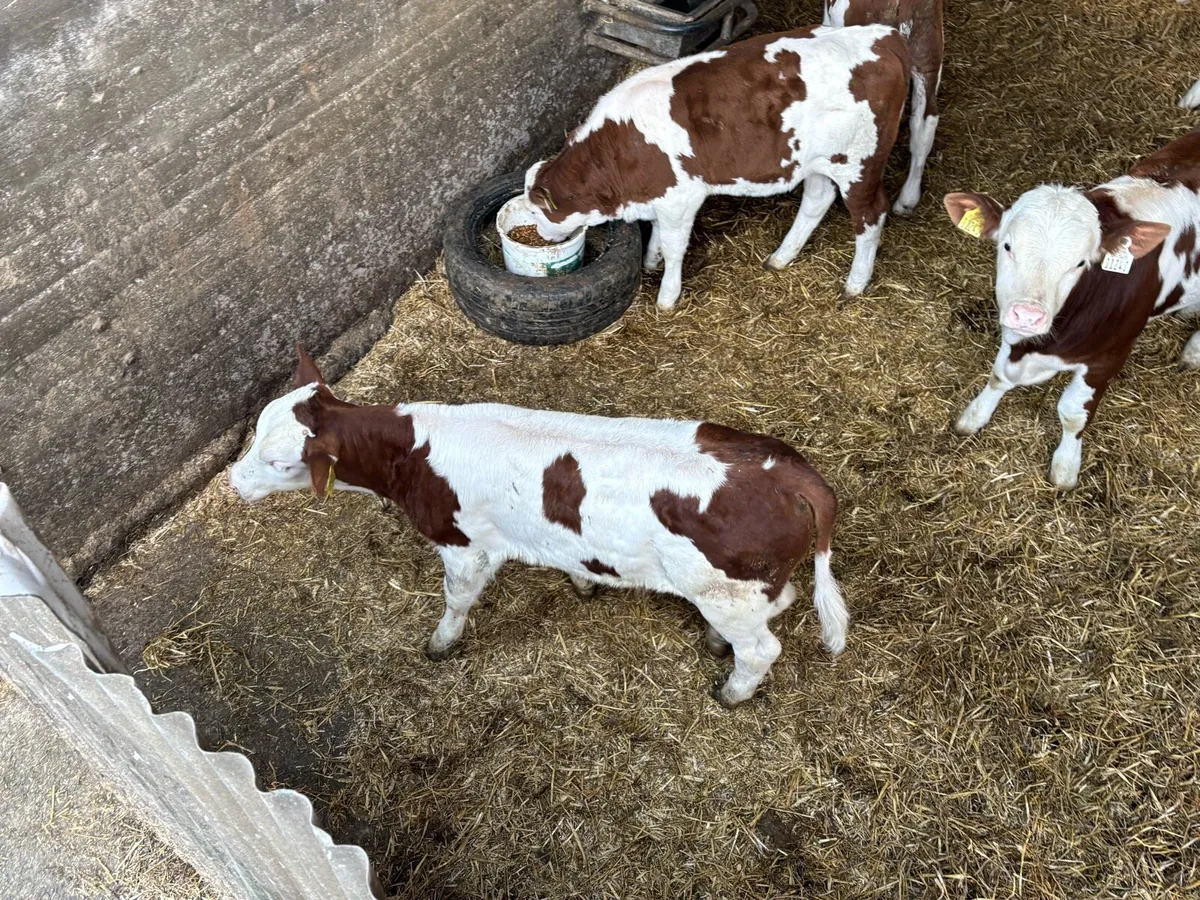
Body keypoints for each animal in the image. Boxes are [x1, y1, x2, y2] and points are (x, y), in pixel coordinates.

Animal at [229, 347, 848, 707]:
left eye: (280, 462)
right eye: (255, 430)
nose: (233, 480)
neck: (413, 451)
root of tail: (791, 473)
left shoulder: (463, 544)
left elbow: (457, 599)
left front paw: (440, 644)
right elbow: (570, 559)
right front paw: (584, 583)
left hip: (729, 592)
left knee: (763, 648)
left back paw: (732, 692)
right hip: (748, 587)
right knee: (782, 602)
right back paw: (718, 644)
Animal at [523, 25, 912, 310]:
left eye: (538, 212)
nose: (540, 235)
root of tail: (881, 35)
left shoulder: (681, 198)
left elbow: (675, 246)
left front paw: (667, 297)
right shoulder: (661, 196)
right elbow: (659, 234)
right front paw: (651, 260)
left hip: (860, 164)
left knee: (871, 215)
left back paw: (855, 283)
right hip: (816, 160)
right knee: (817, 199)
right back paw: (780, 257)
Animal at [944, 127, 1200, 490]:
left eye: (1081, 263)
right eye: (1007, 245)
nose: (1028, 315)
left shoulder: (1109, 356)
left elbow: (1073, 414)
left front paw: (1065, 467)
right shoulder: (1013, 337)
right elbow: (999, 376)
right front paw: (974, 415)